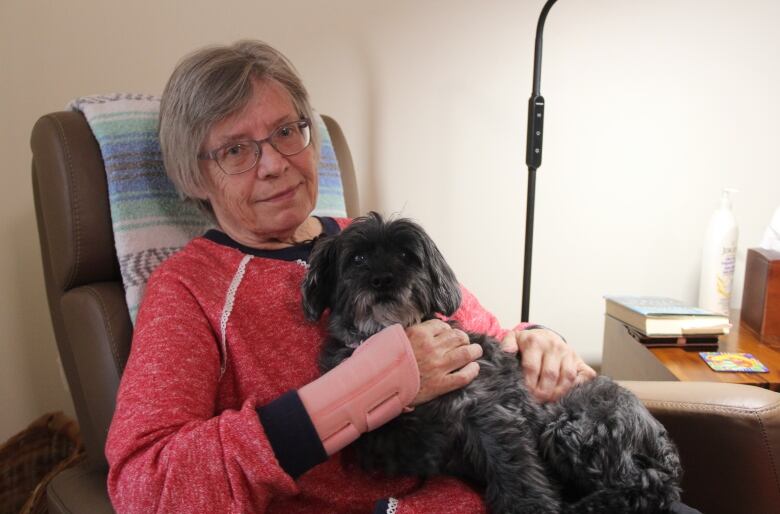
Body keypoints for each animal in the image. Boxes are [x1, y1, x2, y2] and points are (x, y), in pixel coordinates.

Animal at [302, 212, 680, 512]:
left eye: (407, 256)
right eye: (357, 258)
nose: (382, 280)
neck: (384, 331)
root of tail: (660, 439)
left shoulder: (490, 411)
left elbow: (515, 469)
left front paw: (531, 506)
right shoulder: (382, 433)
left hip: (574, 429)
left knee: (649, 485)